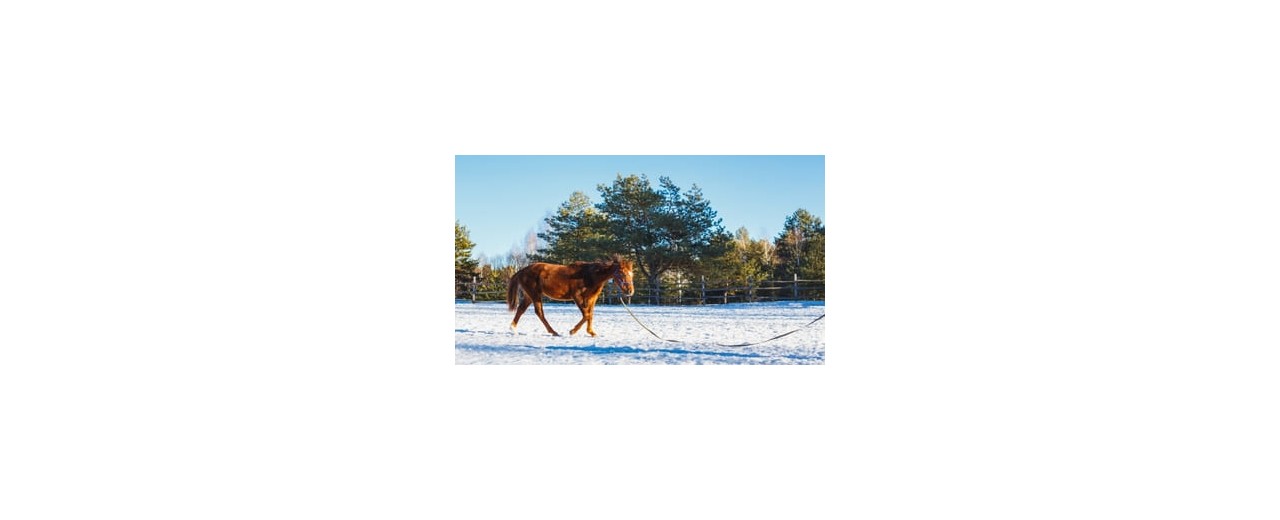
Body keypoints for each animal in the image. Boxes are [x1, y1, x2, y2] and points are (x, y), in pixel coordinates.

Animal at [506, 254, 635, 336]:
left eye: (631, 274)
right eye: (622, 273)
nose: (630, 291)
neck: (589, 275)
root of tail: (522, 271)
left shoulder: (592, 299)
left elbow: (590, 314)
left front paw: (591, 332)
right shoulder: (577, 297)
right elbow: (586, 314)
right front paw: (573, 331)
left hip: (530, 295)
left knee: (521, 309)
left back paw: (513, 328)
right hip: (535, 294)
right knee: (539, 312)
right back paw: (553, 332)